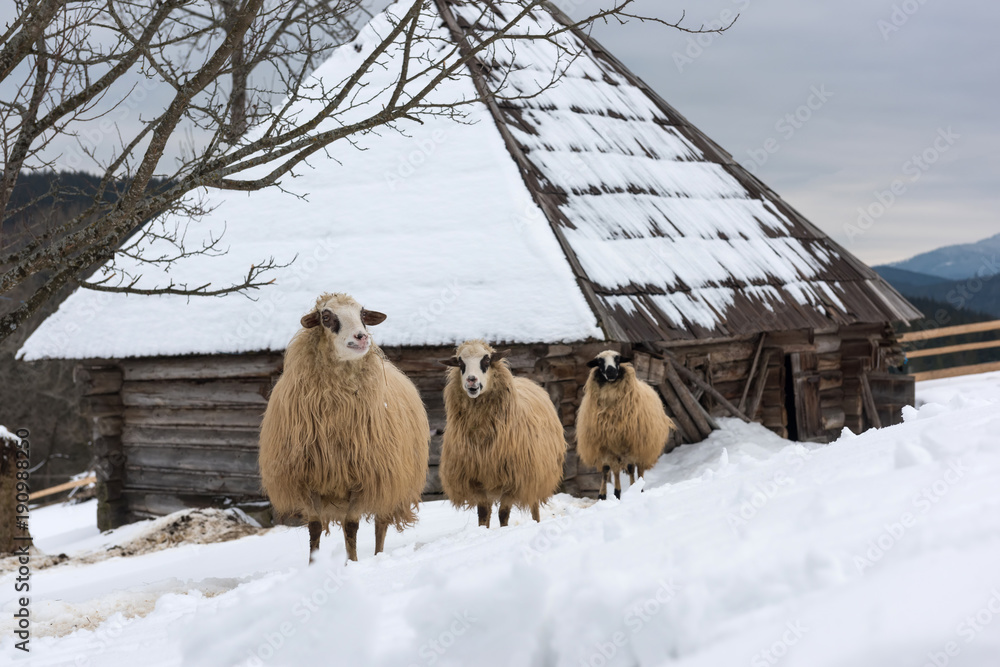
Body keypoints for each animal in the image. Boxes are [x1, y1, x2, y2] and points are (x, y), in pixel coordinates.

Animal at [256, 294, 428, 560]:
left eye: (363, 314)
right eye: (326, 317)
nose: (362, 337)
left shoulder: (364, 478)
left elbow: (351, 526)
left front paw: (352, 563)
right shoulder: (308, 478)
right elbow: (315, 527)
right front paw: (313, 565)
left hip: (391, 482)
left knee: (381, 524)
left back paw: (378, 556)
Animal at [442, 342, 568, 528]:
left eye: (487, 360)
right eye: (460, 362)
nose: (471, 379)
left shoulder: (515, 480)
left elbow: (503, 514)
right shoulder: (476, 479)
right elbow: (483, 513)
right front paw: (483, 530)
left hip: (536, 474)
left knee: (534, 505)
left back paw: (536, 522)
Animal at [576, 350, 676, 500]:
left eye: (618, 359)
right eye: (599, 362)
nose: (611, 371)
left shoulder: (631, 443)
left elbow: (630, 468)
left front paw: (634, 489)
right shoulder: (604, 445)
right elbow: (606, 469)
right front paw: (603, 495)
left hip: (643, 447)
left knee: (638, 469)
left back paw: (638, 488)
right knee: (616, 469)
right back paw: (618, 492)